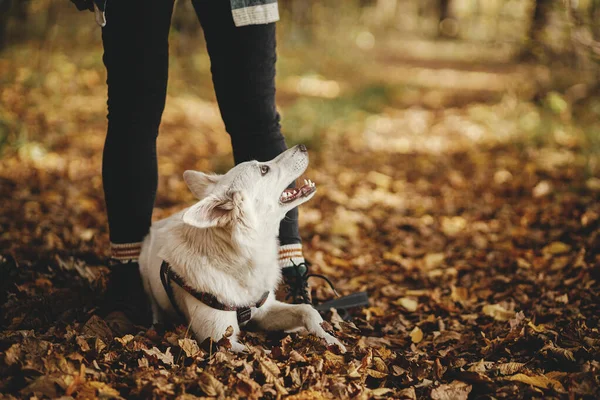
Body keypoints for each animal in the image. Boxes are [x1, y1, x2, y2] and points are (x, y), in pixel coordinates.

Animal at [139, 145, 346, 352]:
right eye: (264, 170)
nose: (302, 147)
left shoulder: (264, 312)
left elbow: (307, 310)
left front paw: (329, 339)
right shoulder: (218, 339)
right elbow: (258, 351)